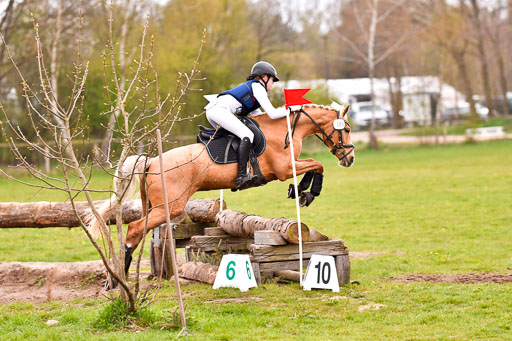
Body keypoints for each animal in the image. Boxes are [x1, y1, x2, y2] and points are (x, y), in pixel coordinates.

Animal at [86, 103, 354, 270]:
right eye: (348, 129)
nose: (349, 159)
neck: (286, 129)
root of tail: (151, 161)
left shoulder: (288, 167)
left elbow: (315, 165)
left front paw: (300, 191)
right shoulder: (284, 168)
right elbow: (318, 164)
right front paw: (307, 192)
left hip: (156, 206)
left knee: (139, 228)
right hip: (169, 207)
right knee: (134, 228)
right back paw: (121, 272)